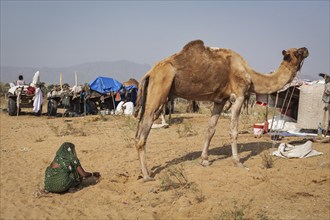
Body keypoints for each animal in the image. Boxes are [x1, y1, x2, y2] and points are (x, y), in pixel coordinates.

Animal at [133, 39, 308, 180]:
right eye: (297, 52)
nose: (306, 49)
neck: (250, 75)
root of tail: (150, 72)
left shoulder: (220, 100)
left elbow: (211, 129)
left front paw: (204, 159)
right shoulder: (238, 96)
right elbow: (233, 130)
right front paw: (238, 162)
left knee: (138, 131)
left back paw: (143, 172)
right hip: (160, 87)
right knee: (143, 133)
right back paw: (147, 175)